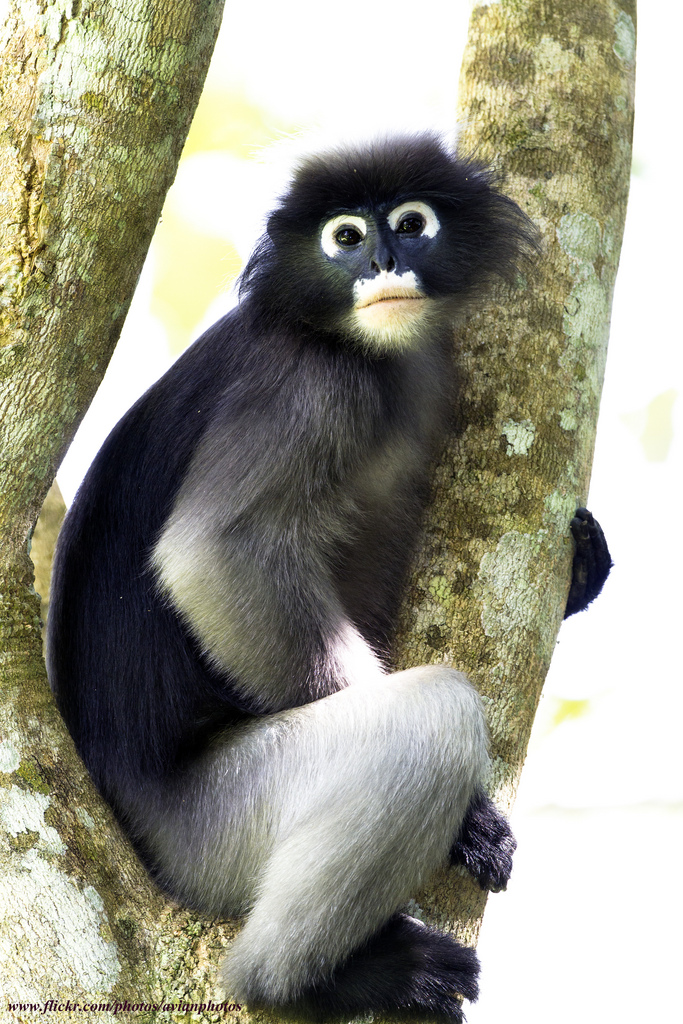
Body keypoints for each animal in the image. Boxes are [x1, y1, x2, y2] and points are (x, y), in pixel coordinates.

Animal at [46, 134, 611, 1022]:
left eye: (410, 224)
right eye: (344, 237)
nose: (381, 261)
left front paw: (581, 570)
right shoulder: (309, 388)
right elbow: (213, 554)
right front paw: (469, 824)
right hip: (211, 831)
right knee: (429, 714)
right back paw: (317, 978)